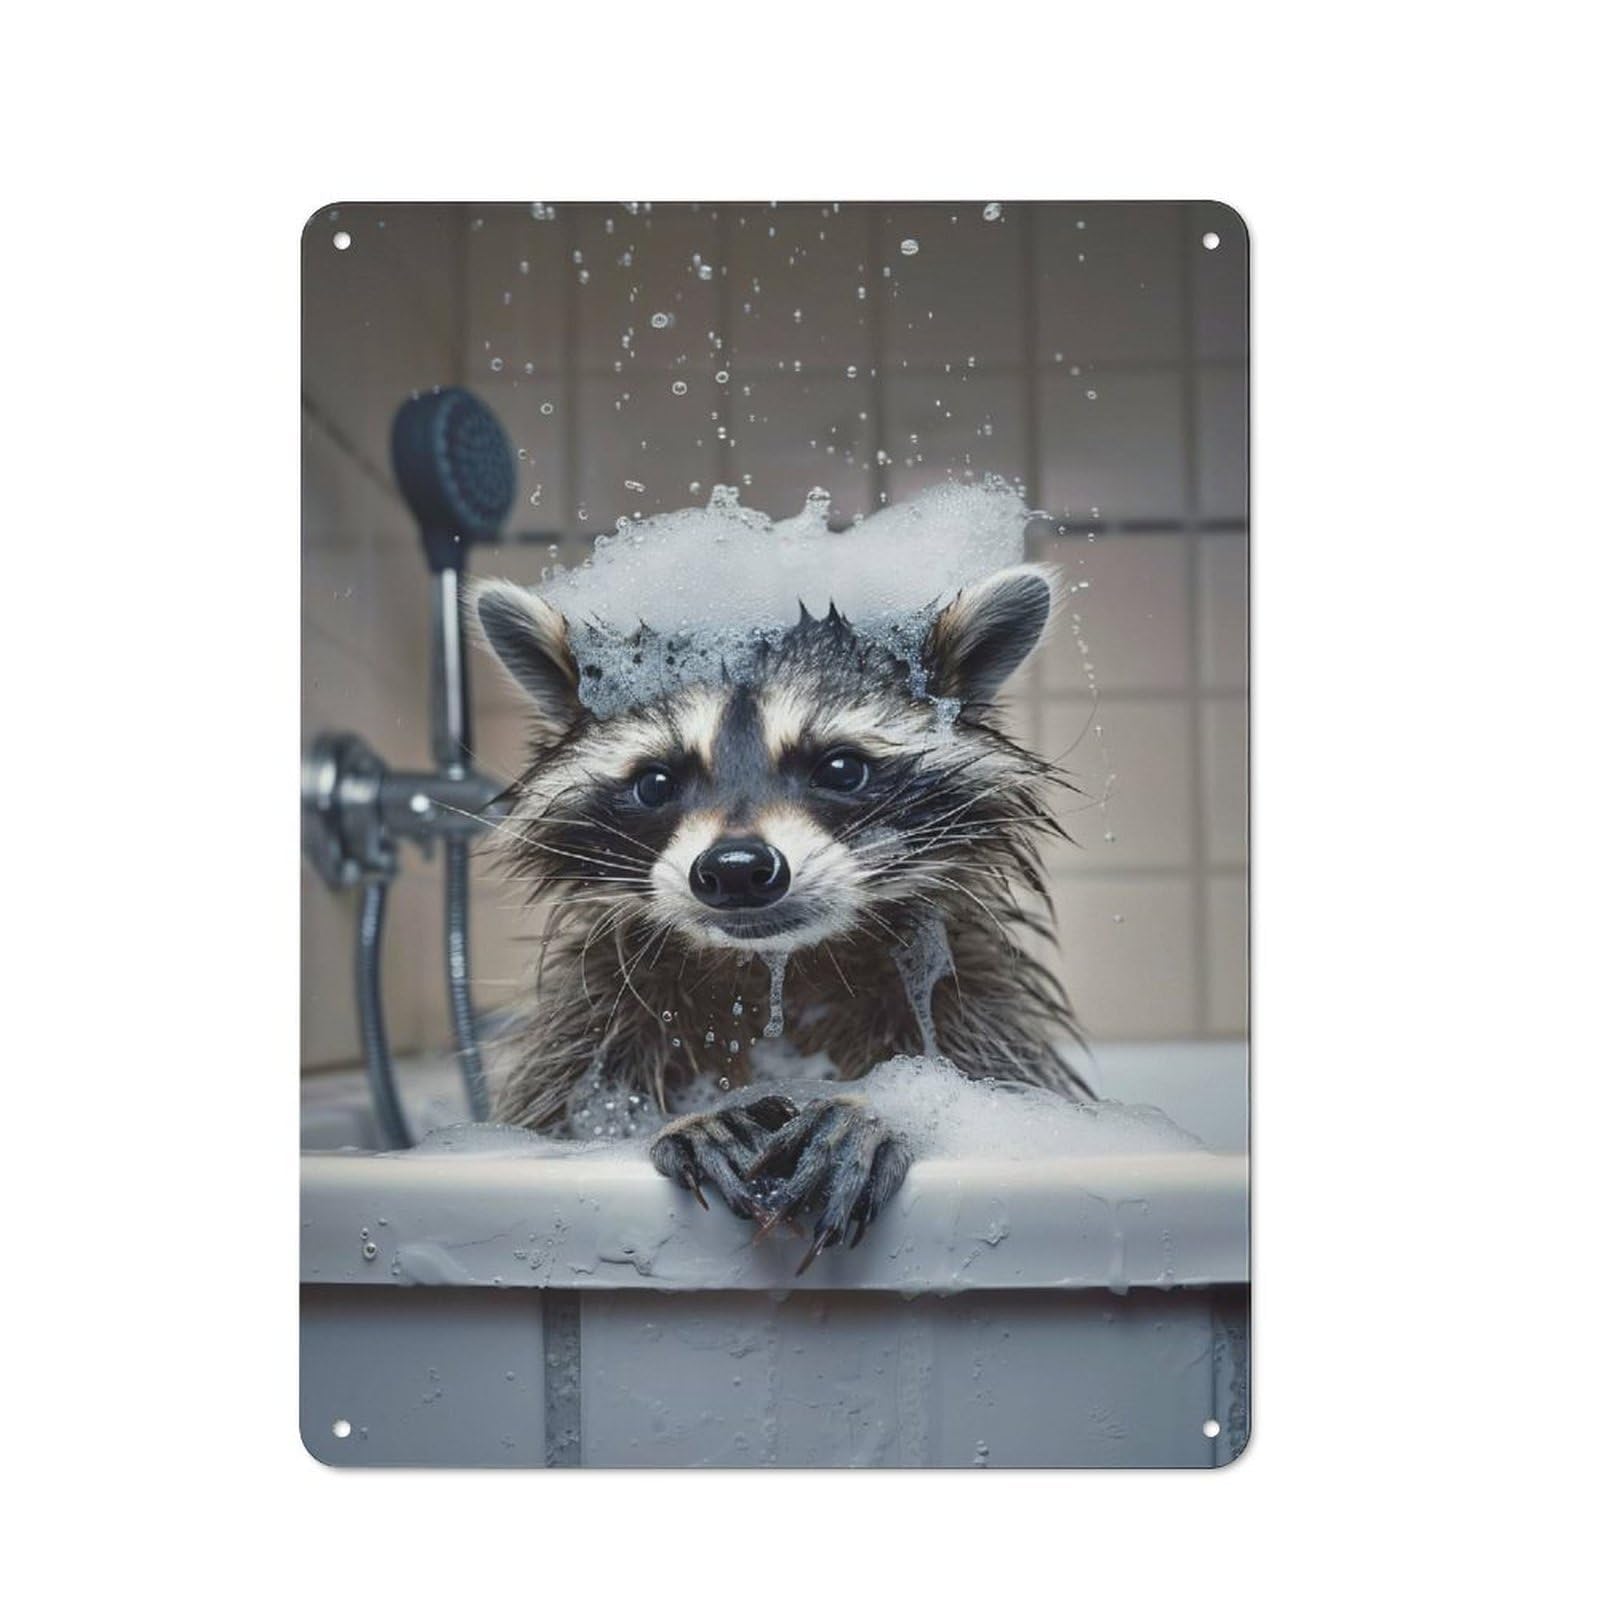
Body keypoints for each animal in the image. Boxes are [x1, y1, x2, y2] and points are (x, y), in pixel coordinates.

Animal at [474, 563, 1089, 1271]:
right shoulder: (597, 1005)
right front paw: (685, 1118)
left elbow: (993, 1087)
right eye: (656, 783)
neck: (779, 963)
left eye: (841, 769)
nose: (737, 868)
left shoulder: (975, 992)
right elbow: (561, 1115)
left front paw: (886, 1114)